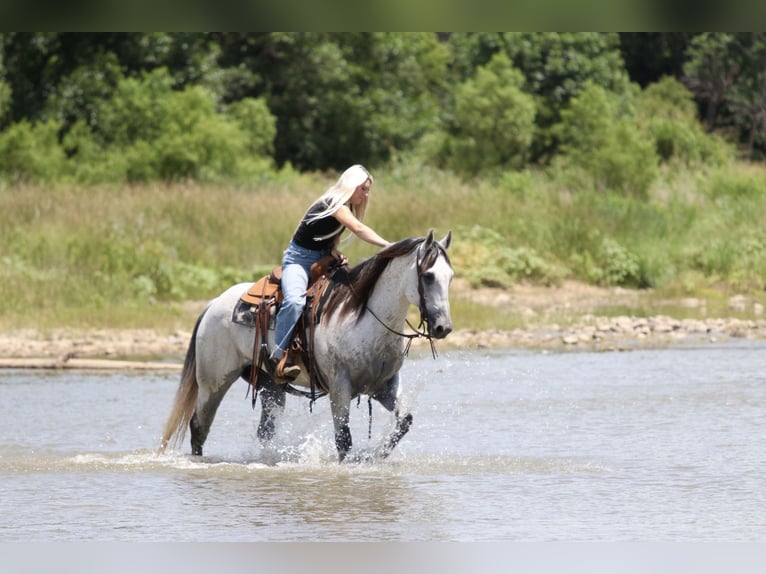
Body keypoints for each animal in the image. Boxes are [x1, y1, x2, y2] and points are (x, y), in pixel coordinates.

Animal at [158, 230, 454, 462]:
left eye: (450, 276)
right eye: (428, 275)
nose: (444, 327)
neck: (362, 318)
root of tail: (213, 304)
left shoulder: (385, 385)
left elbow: (404, 422)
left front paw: (374, 456)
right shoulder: (340, 387)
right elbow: (343, 440)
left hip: (270, 386)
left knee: (264, 432)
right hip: (213, 382)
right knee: (199, 426)